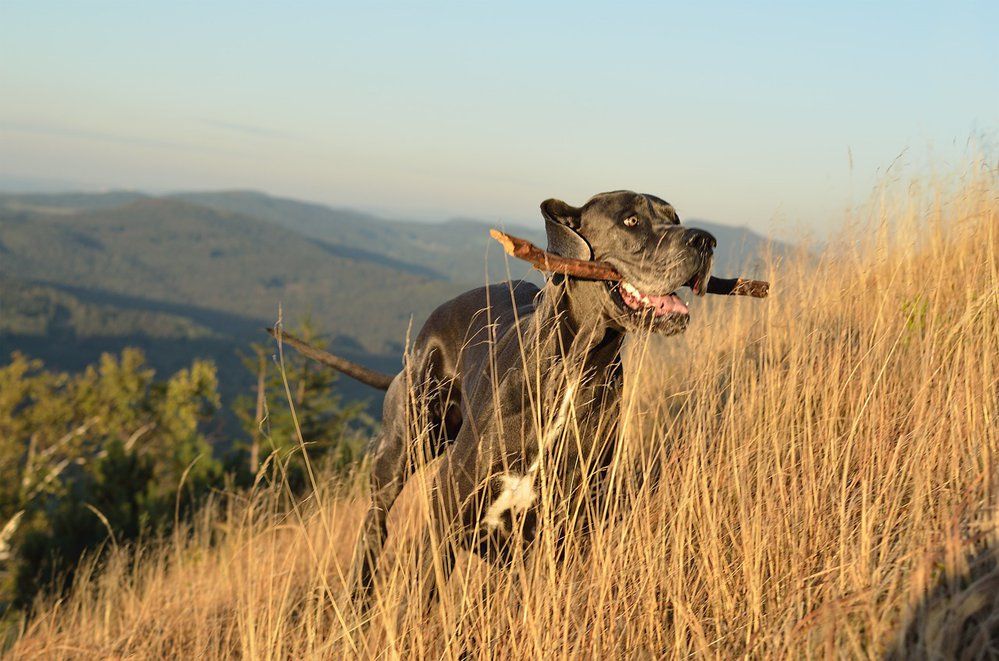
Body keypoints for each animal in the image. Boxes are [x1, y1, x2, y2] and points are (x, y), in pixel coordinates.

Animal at [274, 191, 720, 608]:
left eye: (674, 218)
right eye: (631, 220)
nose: (706, 240)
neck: (576, 367)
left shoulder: (567, 526)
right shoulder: (446, 505)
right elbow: (424, 595)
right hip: (404, 446)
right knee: (376, 523)